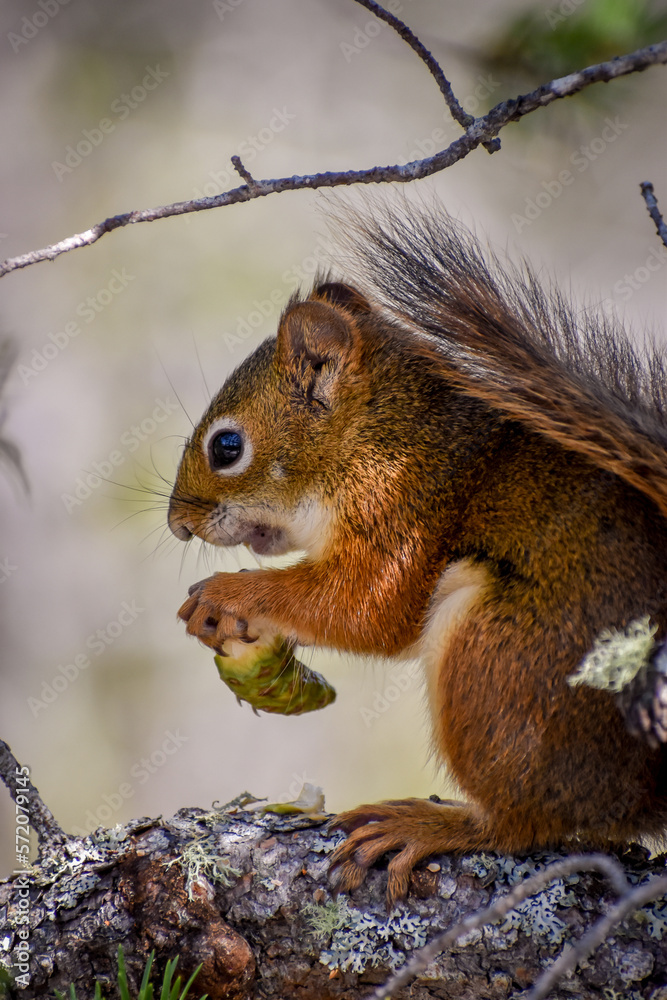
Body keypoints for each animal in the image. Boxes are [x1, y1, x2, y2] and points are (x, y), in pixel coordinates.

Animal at [168, 203, 667, 906]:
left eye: (227, 447)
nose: (177, 524)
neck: (377, 432)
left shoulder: (400, 508)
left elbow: (367, 608)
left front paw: (226, 596)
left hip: (503, 662)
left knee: (525, 824)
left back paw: (430, 824)